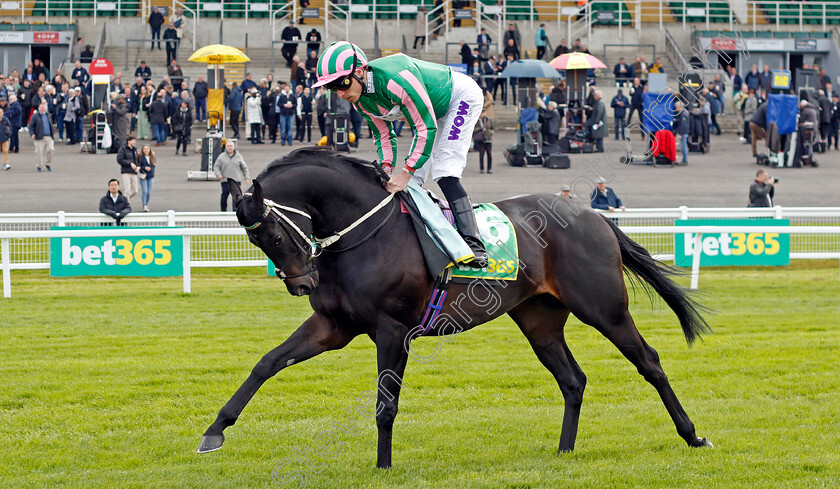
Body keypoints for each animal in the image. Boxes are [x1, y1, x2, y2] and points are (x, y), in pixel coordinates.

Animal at [199, 148, 716, 466]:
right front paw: (215, 430)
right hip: (540, 319)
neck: (364, 233)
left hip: (605, 308)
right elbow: (266, 364)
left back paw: (693, 434)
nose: (302, 283)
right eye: (256, 241)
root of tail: (593, 214)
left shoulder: (393, 330)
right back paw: (565, 451)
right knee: (573, 380)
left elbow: (386, 404)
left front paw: (383, 466)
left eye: (275, 235)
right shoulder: (333, 326)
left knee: (649, 362)